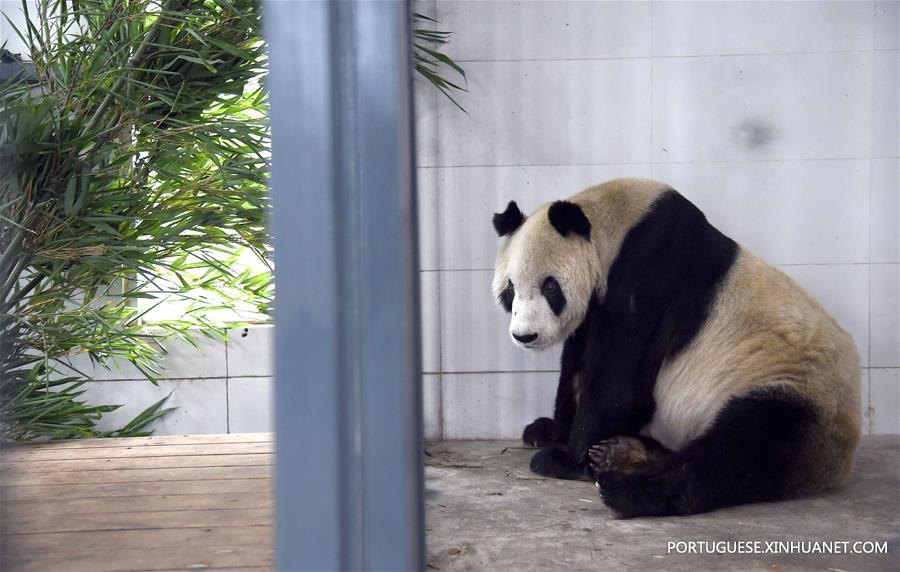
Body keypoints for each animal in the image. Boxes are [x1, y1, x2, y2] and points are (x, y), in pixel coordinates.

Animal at [491, 178, 860, 518]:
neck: (615, 227)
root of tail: (841, 463)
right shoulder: (595, 308)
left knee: (740, 447)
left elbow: (619, 387)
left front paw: (566, 458)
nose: (525, 336)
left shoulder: (651, 275)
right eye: (510, 291)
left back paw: (626, 489)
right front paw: (548, 431)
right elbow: (576, 369)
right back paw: (622, 452)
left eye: (550, 287)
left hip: (795, 391)